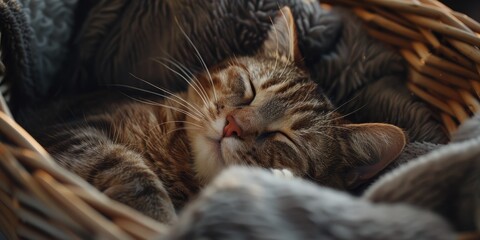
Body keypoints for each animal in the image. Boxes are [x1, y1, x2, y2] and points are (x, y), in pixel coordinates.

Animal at [21, 7, 404, 224]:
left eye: (284, 138)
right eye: (250, 88)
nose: (233, 126)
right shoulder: (76, 127)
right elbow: (125, 167)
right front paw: (157, 215)